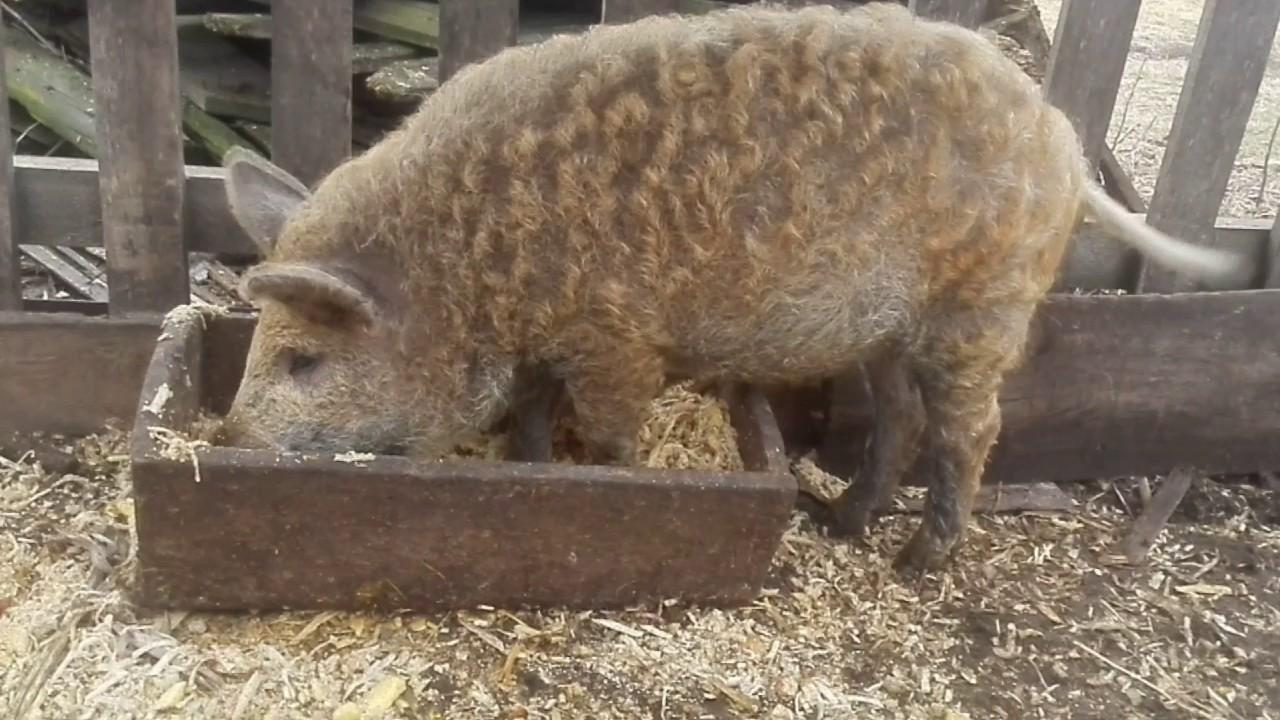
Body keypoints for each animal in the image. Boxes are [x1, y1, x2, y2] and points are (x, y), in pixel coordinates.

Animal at [215, 2, 1244, 568]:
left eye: (305, 360)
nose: (228, 439)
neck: (467, 263)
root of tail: (1057, 131)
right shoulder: (557, 339)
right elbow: (533, 416)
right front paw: (530, 463)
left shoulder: (617, 339)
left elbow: (611, 433)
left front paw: (611, 487)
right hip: (890, 331)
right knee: (901, 420)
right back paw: (840, 525)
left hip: (979, 306)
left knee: (971, 431)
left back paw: (913, 566)